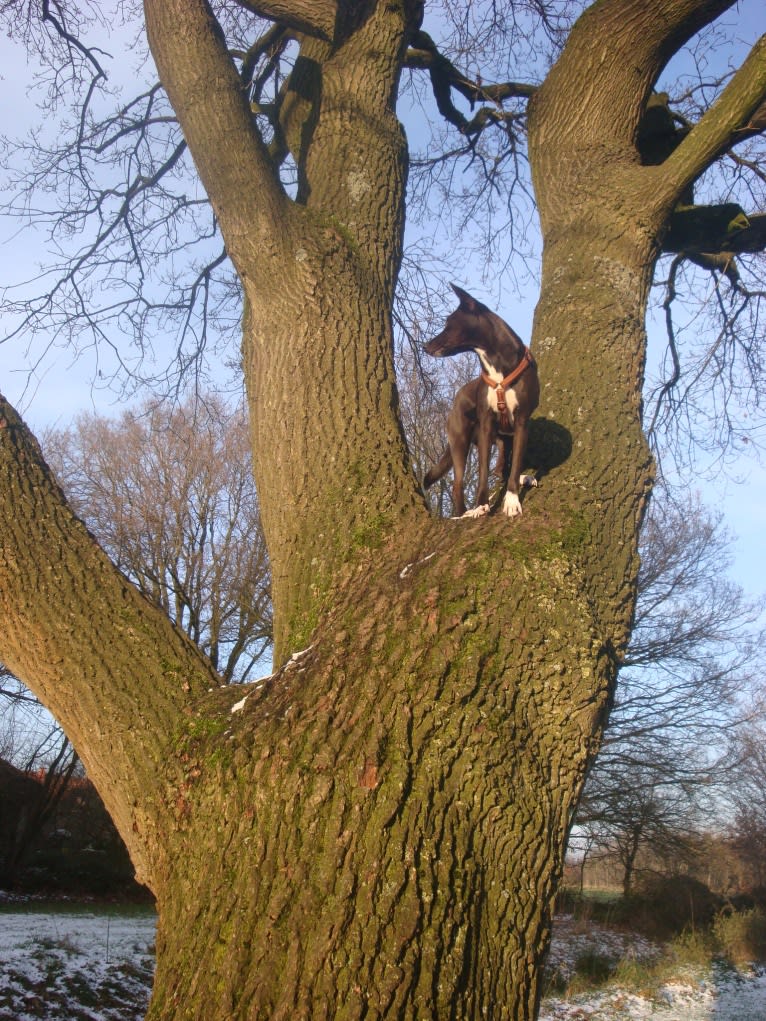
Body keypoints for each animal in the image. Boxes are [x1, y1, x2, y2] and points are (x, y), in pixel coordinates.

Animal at [426, 285, 539, 518]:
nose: (425, 346)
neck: (497, 363)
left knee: (502, 467)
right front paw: (481, 505)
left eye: (449, 324)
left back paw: (522, 477)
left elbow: (515, 464)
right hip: (460, 440)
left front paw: (512, 501)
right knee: (458, 483)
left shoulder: (522, 422)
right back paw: (462, 514)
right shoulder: (487, 424)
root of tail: (457, 397)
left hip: (501, 439)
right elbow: (483, 471)